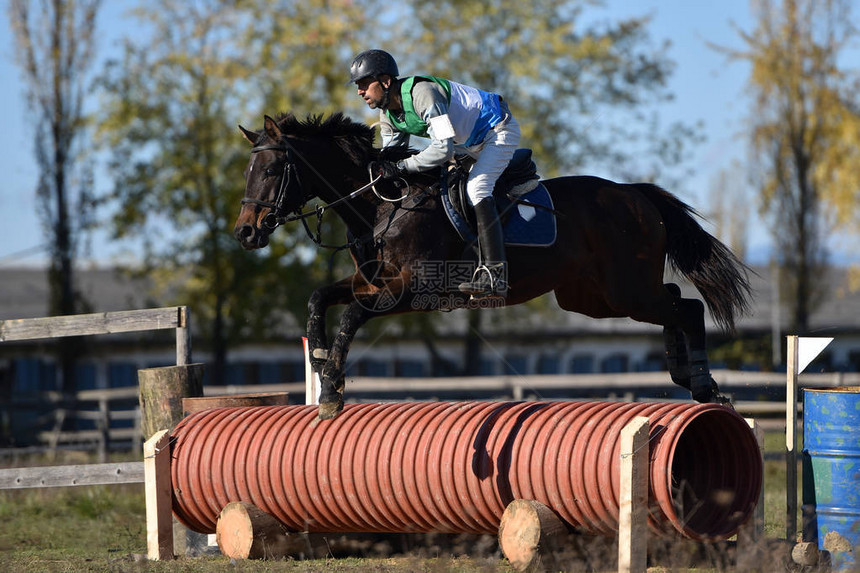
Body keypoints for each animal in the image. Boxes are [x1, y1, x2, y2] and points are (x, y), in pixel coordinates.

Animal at [235, 111, 752, 418]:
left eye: (273, 169)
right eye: (249, 170)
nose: (245, 233)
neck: (383, 203)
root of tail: (635, 194)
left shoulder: (412, 291)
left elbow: (352, 317)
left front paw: (330, 392)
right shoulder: (372, 282)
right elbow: (319, 297)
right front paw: (319, 358)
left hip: (624, 290)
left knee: (687, 308)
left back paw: (705, 386)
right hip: (595, 298)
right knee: (674, 301)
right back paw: (683, 374)